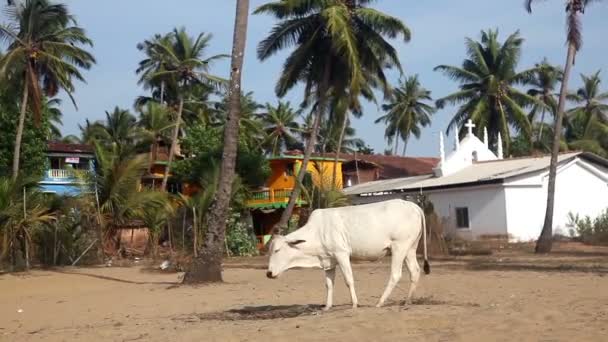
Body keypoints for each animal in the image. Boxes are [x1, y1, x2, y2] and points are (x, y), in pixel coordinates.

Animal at [264, 199, 428, 312]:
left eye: (277, 250)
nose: (269, 273)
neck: (317, 231)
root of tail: (413, 205)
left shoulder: (341, 254)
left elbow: (349, 280)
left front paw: (354, 304)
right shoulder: (329, 261)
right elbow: (329, 284)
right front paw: (327, 306)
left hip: (399, 247)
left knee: (395, 274)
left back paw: (380, 302)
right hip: (409, 249)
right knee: (415, 271)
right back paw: (407, 301)